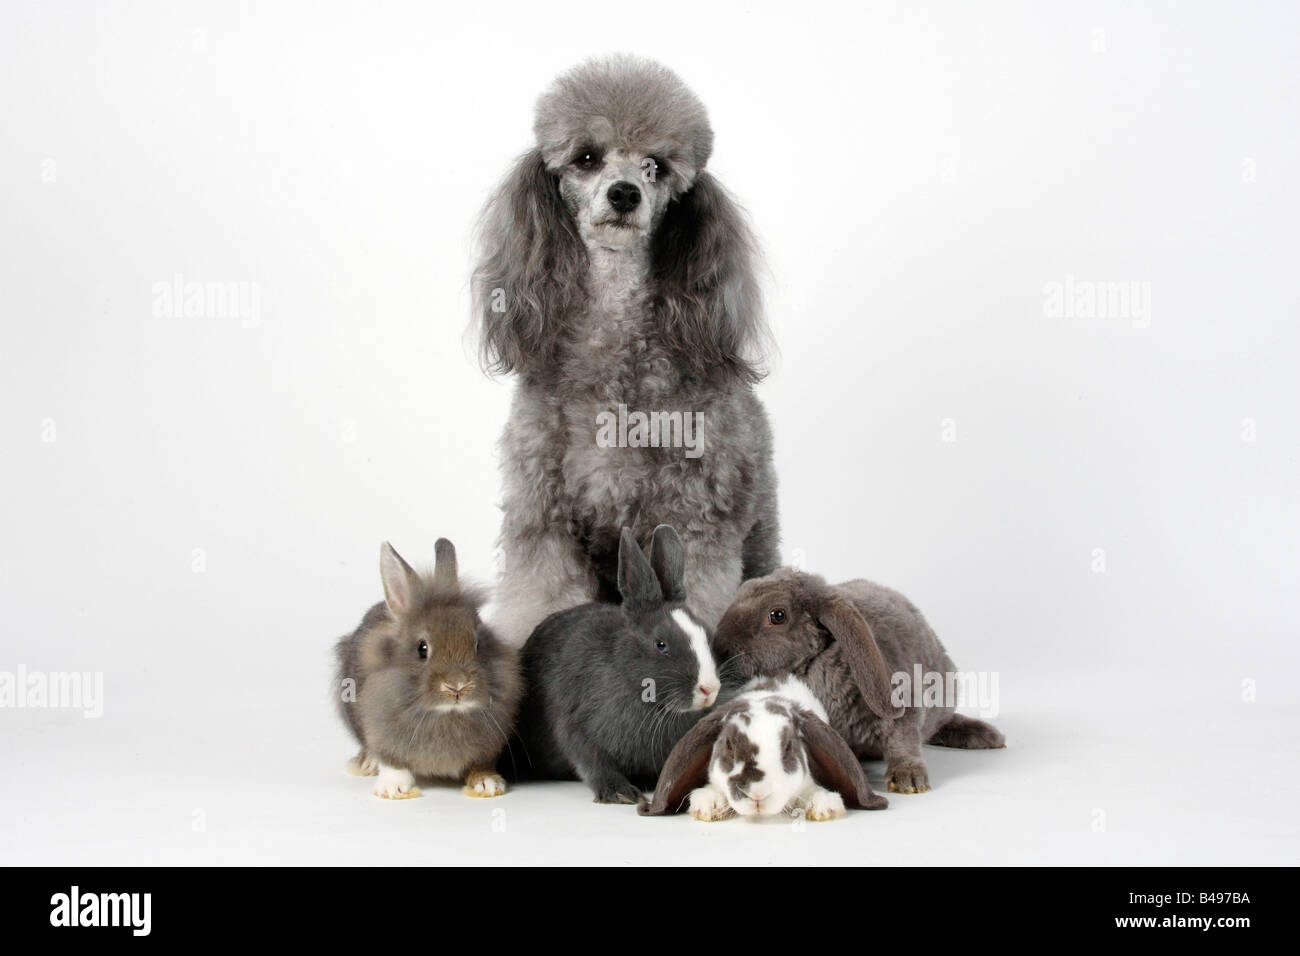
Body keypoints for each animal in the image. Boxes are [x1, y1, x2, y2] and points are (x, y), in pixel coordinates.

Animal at [334, 538, 522, 800]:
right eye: (422, 648)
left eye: (478, 644)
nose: (457, 686)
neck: (447, 713)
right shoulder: (383, 731)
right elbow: (392, 761)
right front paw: (393, 788)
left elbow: (480, 764)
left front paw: (487, 784)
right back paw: (367, 763)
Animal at [515, 524, 727, 805]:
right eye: (661, 645)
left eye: (706, 632)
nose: (709, 689)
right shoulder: (574, 725)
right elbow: (592, 762)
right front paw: (621, 793)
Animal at [713, 568, 1005, 795]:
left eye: (777, 615)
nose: (720, 649)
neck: (815, 661)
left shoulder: (903, 703)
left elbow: (903, 739)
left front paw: (909, 779)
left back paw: (987, 736)